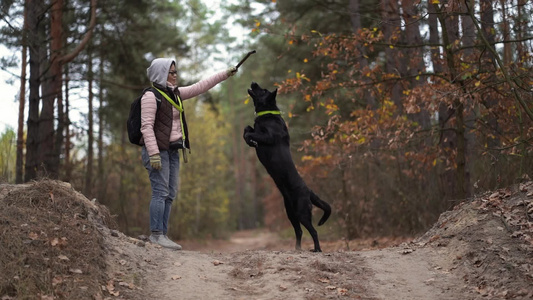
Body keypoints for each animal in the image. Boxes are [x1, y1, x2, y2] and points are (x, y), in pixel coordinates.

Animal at [243, 81, 330, 251]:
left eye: (263, 90)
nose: (253, 83)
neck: (267, 114)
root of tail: (308, 191)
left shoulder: (269, 136)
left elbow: (252, 133)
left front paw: (251, 140)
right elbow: (247, 128)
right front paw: (249, 140)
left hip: (302, 212)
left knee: (313, 231)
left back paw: (317, 249)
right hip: (291, 213)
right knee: (299, 231)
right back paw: (297, 249)